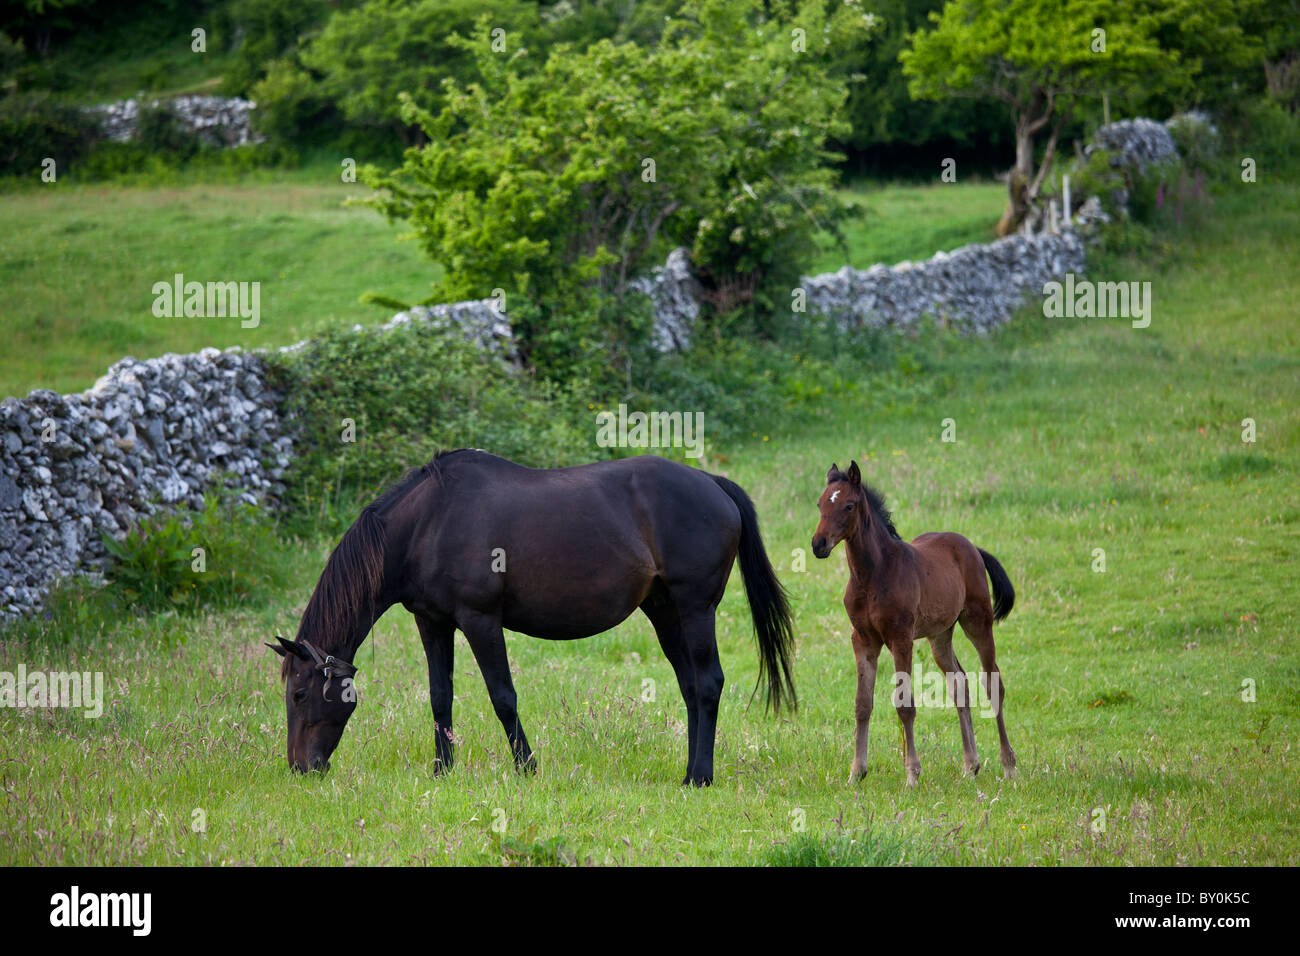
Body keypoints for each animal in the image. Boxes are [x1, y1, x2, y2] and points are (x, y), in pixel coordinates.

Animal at [266, 452, 790, 790]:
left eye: (299, 694)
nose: (301, 768)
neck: (428, 524)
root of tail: (712, 483)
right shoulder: (433, 623)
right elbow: (440, 697)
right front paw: (442, 770)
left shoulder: (480, 620)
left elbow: (503, 697)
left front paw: (527, 769)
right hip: (664, 611)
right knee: (690, 687)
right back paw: (688, 774)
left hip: (696, 609)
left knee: (708, 683)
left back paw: (701, 777)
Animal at [811, 463, 1013, 785]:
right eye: (820, 504)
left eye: (849, 505)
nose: (818, 545)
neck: (873, 575)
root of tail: (971, 546)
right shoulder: (863, 640)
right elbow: (862, 704)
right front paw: (856, 772)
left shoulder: (900, 638)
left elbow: (905, 704)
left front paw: (912, 774)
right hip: (940, 635)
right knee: (960, 684)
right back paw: (970, 766)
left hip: (977, 621)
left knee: (993, 683)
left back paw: (1008, 765)